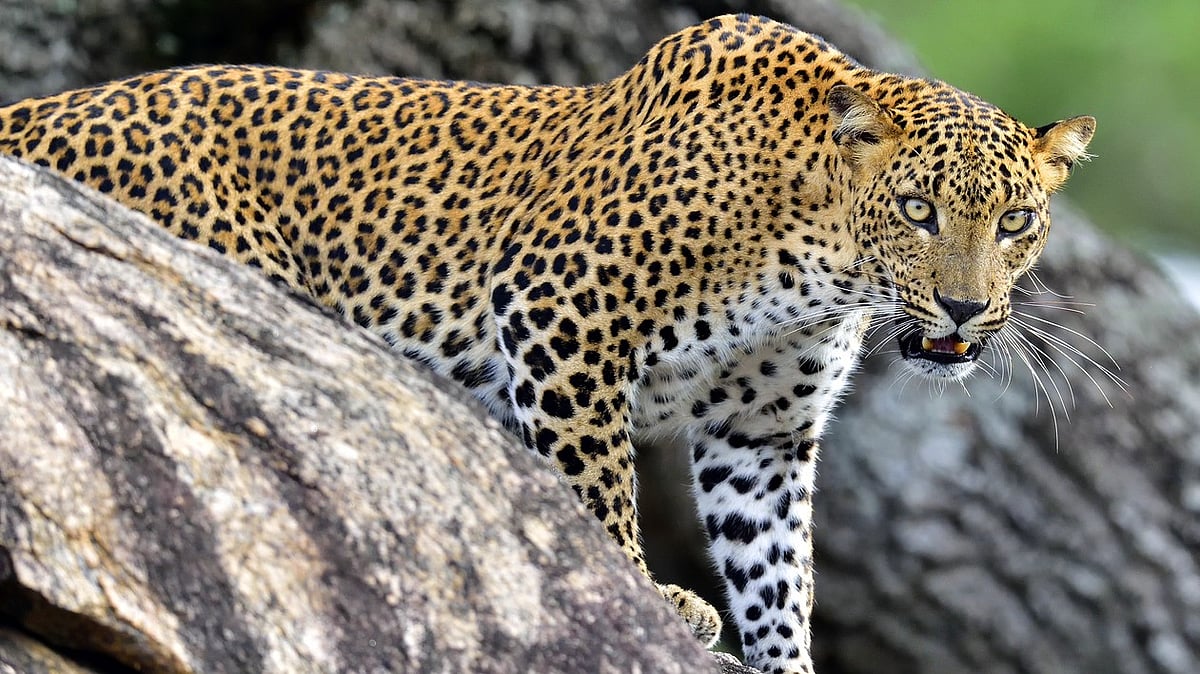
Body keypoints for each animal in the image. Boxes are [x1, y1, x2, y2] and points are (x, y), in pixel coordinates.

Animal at [0, 14, 1094, 674]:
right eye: (917, 211)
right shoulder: (563, 312)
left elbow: (779, 570)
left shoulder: (763, 432)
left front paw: (776, 655)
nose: (964, 309)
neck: (819, 258)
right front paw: (650, 599)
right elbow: (596, 491)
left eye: (1015, 223)